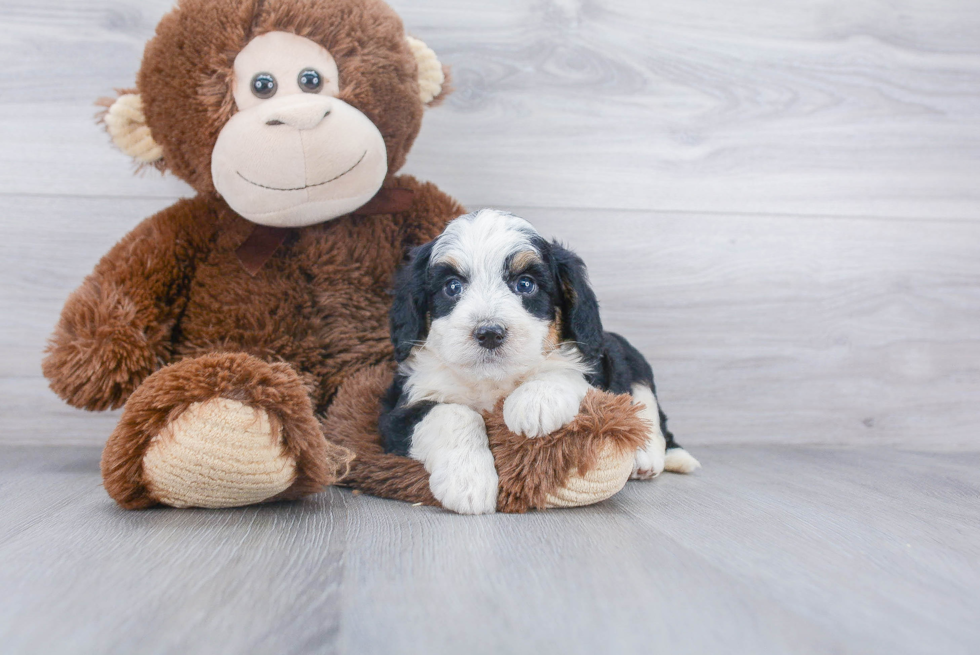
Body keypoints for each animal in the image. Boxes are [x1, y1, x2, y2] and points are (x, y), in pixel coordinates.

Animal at [378, 213, 700, 516]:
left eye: (525, 284)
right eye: (452, 287)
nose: (489, 333)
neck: (492, 380)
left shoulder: (593, 364)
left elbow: (563, 372)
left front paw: (534, 402)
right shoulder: (397, 413)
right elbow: (453, 413)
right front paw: (468, 481)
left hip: (631, 358)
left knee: (648, 406)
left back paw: (650, 457)